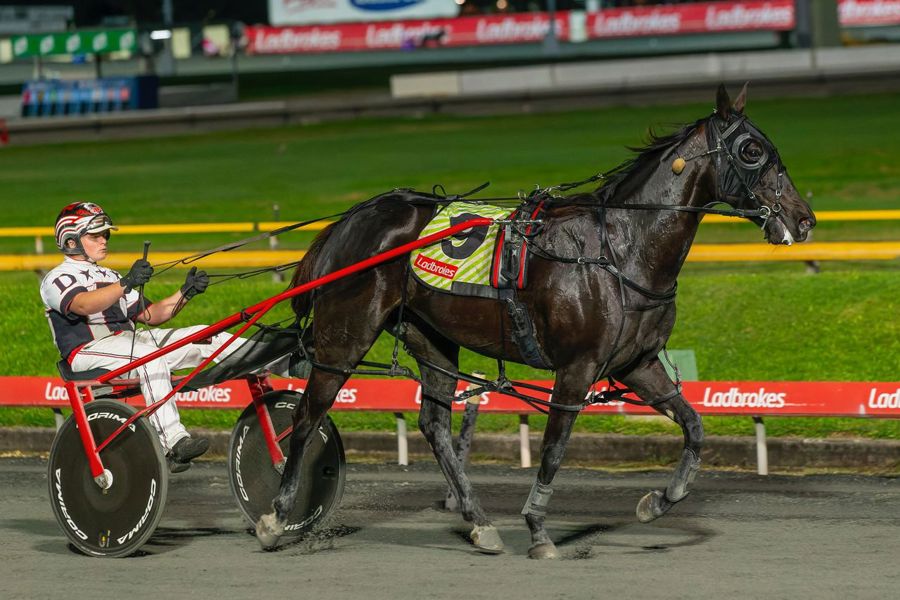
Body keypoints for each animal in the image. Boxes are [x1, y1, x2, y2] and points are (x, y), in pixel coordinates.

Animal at [255, 84, 816, 558]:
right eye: (751, 151)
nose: (804, 218)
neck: (618, 250)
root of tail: (352, 218)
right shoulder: (576, 368)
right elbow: (552, 450)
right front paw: (539, 529)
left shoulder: (638, 364)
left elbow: (695, 427)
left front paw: (656, 501)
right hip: (344, 338)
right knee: (306, 416)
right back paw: (276, 518)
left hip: (432, 337)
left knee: (434, 425)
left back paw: (480, 523)